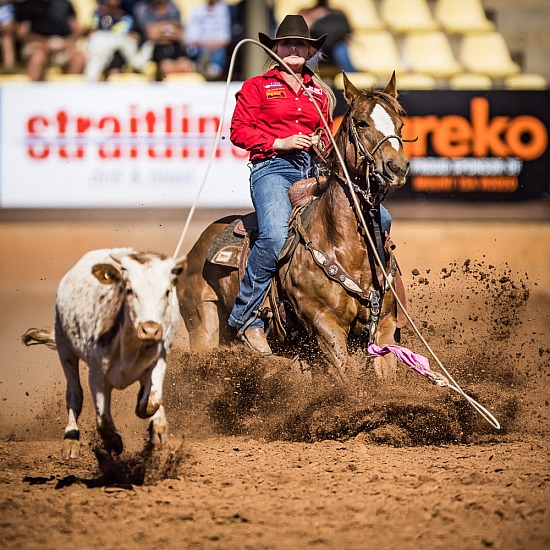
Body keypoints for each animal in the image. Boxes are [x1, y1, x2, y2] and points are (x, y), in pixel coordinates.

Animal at [179, 72, 412, 384]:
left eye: (400, 123)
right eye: (362, 122)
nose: (396, 168)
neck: (345, 247)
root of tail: (197, 248)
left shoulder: (384, 322)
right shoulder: (324, 325)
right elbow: (346, 377)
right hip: (203, 324)